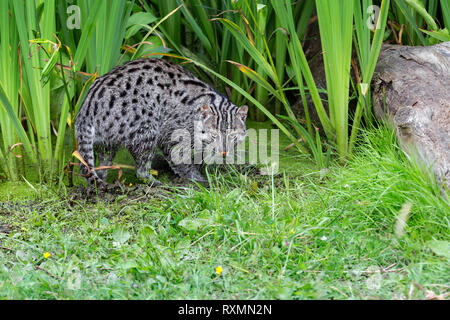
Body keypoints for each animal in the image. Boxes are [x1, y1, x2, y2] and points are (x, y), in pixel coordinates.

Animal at [75, 57, 248, 189]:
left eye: (233, 136)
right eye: (213, 135)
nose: (224, 152)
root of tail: (88, 107)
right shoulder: (170, 132)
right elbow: (179, 159)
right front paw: (195, 177)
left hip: (108, 140)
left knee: (103, 162)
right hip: (147, 125)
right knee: (142, 170)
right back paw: (155, 182)